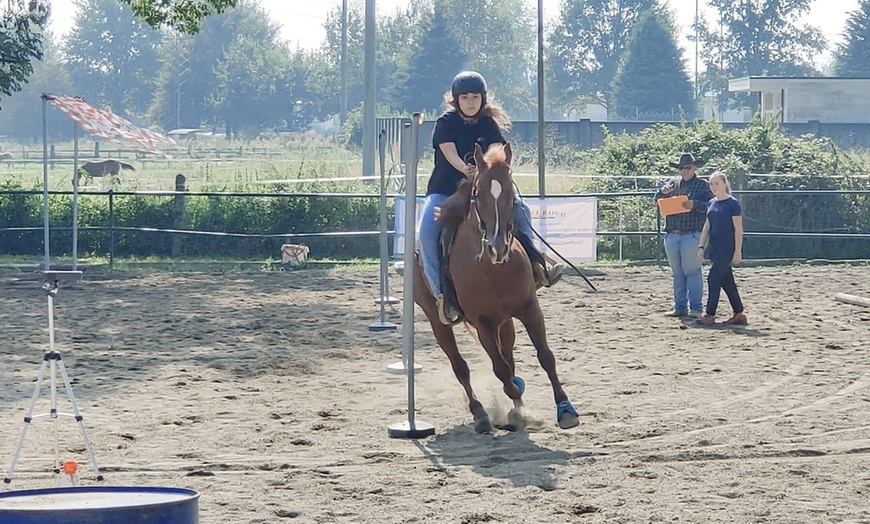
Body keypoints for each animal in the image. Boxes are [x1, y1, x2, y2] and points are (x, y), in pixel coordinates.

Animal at [414, 141, 584, 432]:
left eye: (510, 193)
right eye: (477, 193)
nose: (497, 246)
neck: (491, 269)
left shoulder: (529, 309)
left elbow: (545, 356)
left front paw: (564, 408)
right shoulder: (483, 323)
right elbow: (500, 369)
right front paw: (516, 406)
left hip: (506, 322)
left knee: (508, 355)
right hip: (438, 321)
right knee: (461, 367)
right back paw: (481, 414)